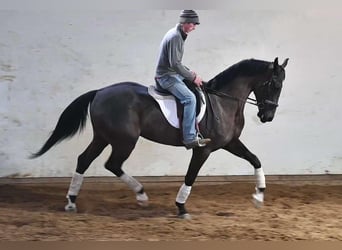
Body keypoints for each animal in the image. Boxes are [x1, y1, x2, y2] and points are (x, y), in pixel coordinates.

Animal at [31, 57, 288, 218]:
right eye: (274, 84)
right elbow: (190, 176)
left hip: (103, 137)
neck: (223, 102)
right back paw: (141, 195)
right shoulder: (202, 149)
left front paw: (259, 196)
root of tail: (100, 92)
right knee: (112, 164)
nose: (267, 116)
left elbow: (255, 159)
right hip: (124, 140)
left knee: (85, 160)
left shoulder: (230, 143)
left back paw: (72, 201)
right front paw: (181, 208)